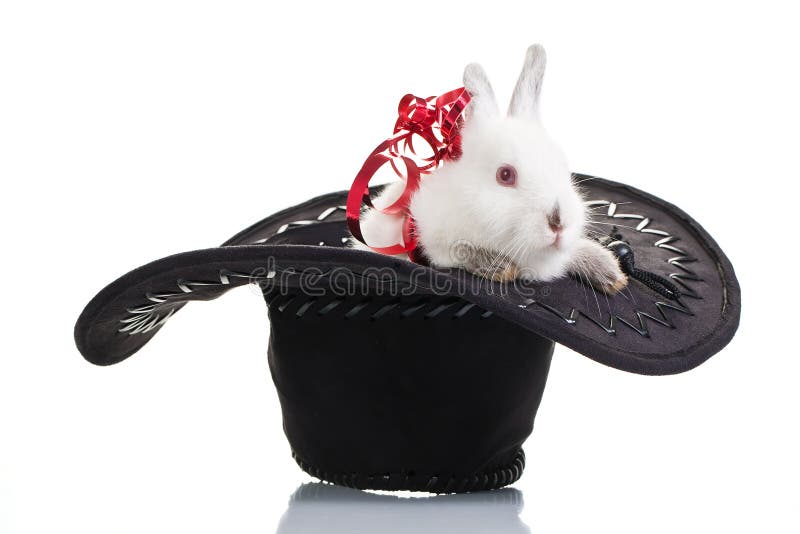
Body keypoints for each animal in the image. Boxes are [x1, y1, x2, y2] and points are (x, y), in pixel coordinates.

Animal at [352, 44, 627, 293]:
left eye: (562, 165)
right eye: (505, 175)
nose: (559, 224)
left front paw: (610, 273)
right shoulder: (433, 237)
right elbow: (460, 249)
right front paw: (500, 268)